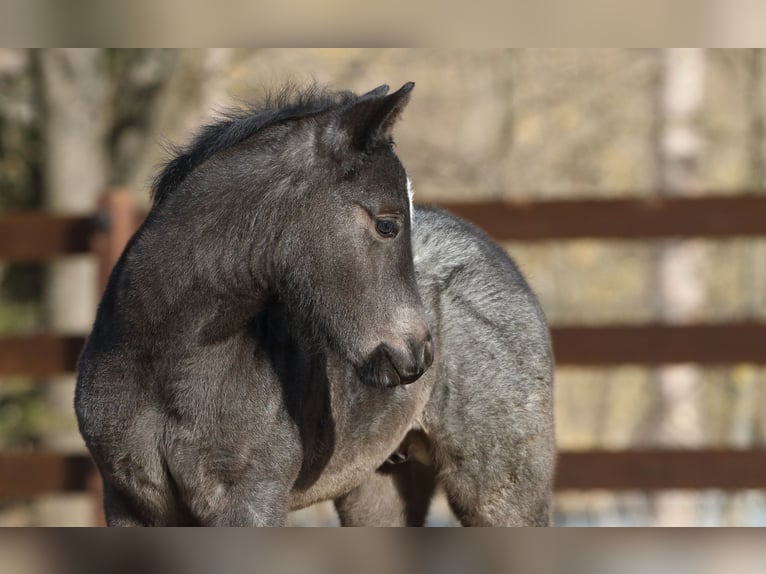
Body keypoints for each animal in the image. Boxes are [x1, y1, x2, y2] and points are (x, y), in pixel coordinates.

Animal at [76, 82, 560, 528]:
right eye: (387, 224)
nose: (418, 354)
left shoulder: (251, 499)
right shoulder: (130, 502)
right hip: (378, 485)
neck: (164, 362)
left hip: (501, 485)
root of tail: (490, 248)